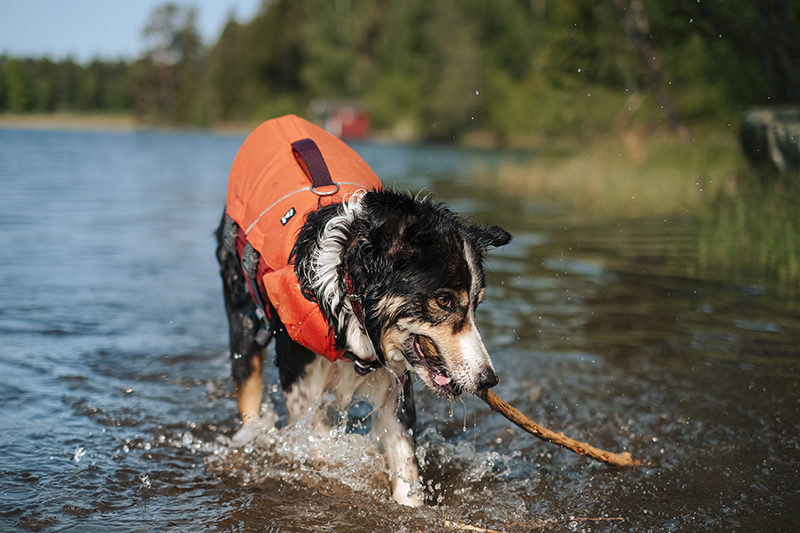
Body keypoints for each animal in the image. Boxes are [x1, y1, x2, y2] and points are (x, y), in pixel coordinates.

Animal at [216, 114, 510, 504]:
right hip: (242, 321)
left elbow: (406, 470)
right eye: (444, 300)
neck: (348, 300)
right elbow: (318, 444)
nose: (488, 379)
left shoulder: (395, 388)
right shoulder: (301, 384)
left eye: (477, 303)